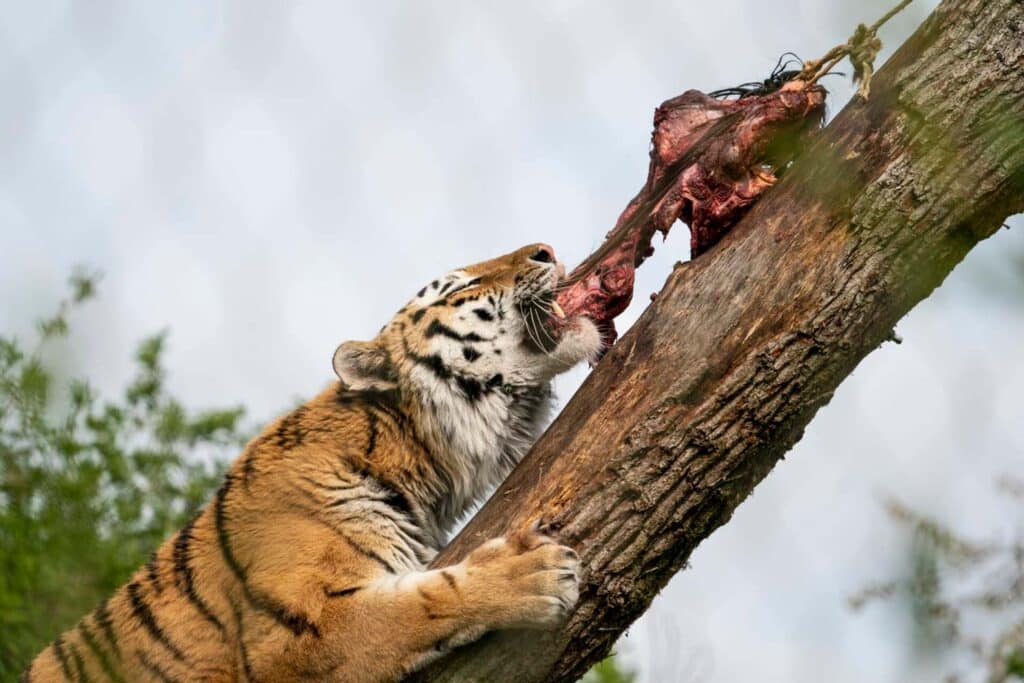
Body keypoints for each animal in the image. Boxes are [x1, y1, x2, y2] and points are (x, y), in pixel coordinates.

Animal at [25, 243, 603, 683]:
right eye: (460, 287)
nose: (547, 249)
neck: (418, 454)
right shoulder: (296, 635)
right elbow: (421, 604)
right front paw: (532, 572)